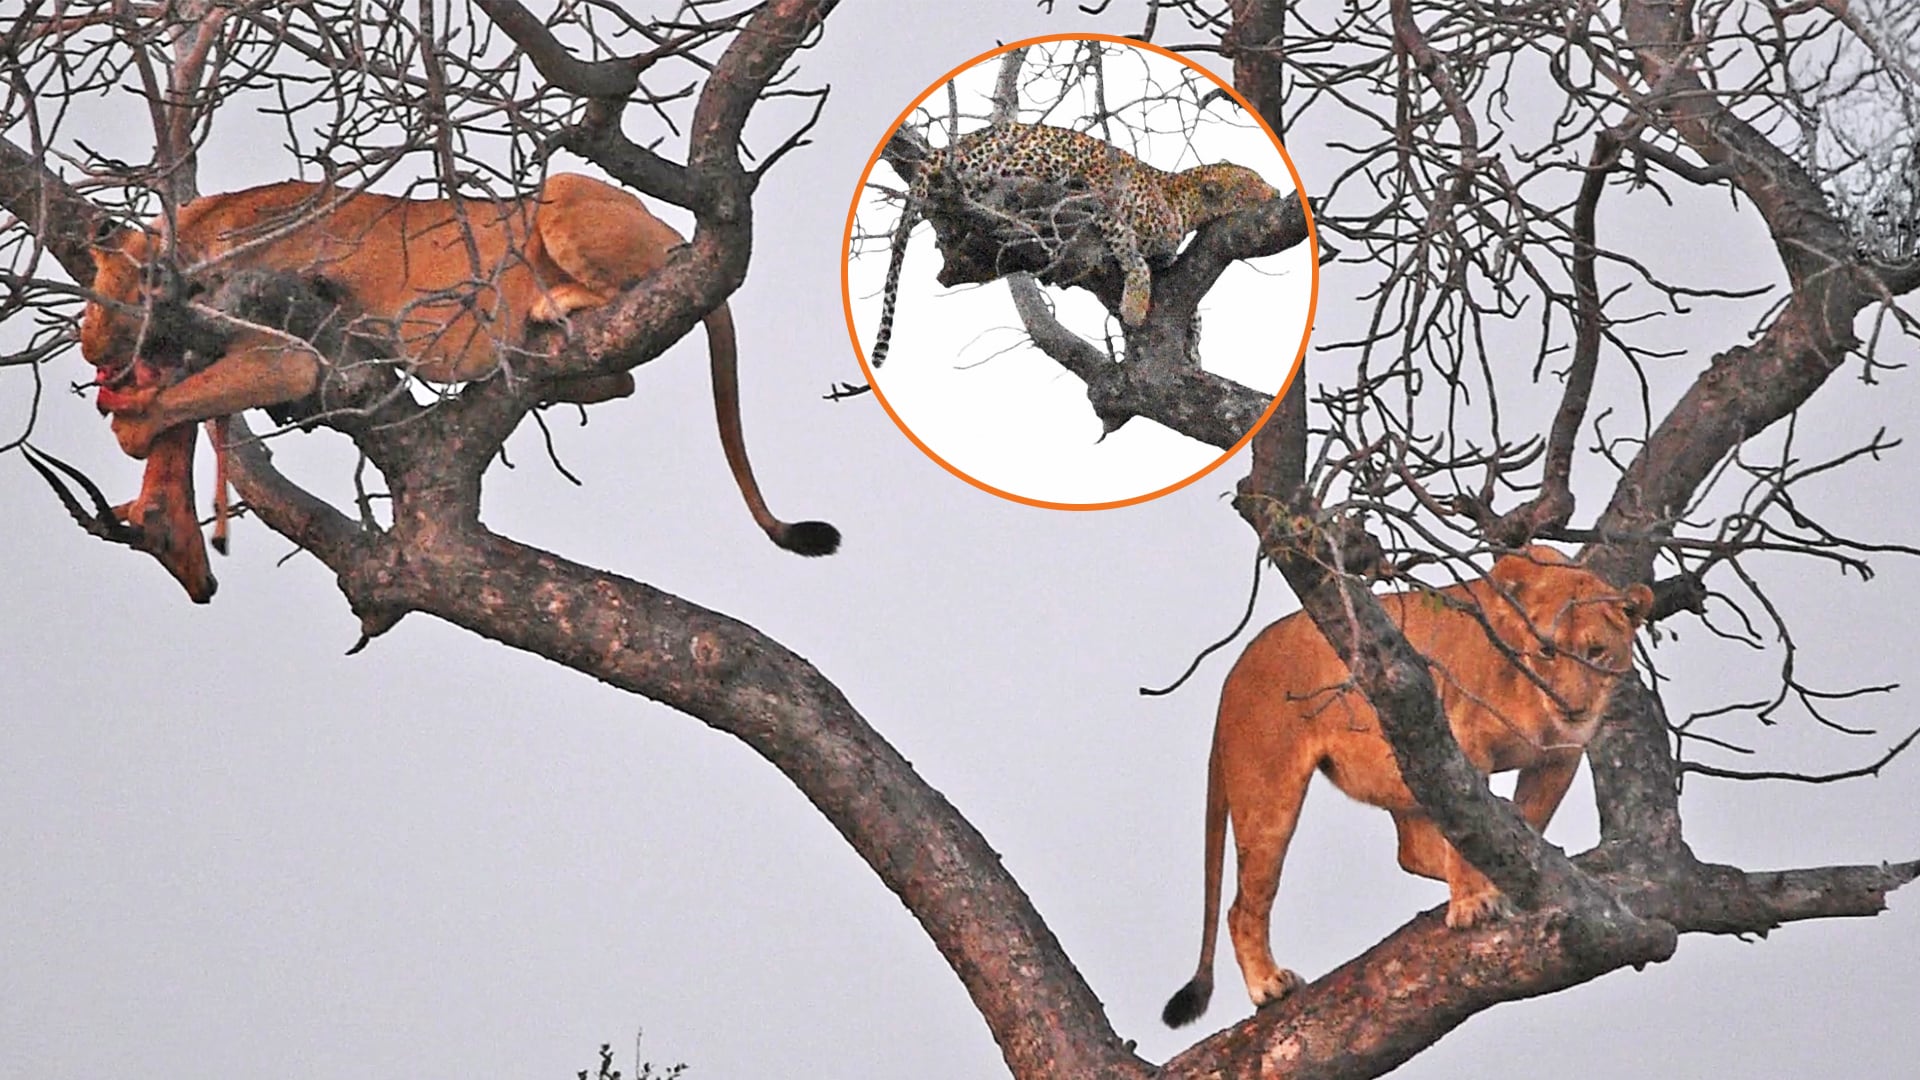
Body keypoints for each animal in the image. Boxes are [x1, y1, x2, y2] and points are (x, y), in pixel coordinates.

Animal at [82, 172, 838, 600]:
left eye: (100, 302)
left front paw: (133, 423)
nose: (89, 352)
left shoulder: (283, 342)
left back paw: (551, 305)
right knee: (620, 379)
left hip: (565, 188)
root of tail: (673, 230)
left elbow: (185, 399)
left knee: (631, 295)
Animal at [866, 123, 1278, 367]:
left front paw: (1193, 346)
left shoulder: (1165, 258)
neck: (1183, 205)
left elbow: (1188, 303)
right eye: (1254, 183)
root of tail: (958, 143)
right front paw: (1134, 307)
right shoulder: (1107, 203)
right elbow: (1132, 255)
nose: (1275, 191)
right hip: (1038, 158)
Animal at [1161, 545, 1653, 1027]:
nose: (1571, 706)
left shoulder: (1559, 759)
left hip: (1404, 765)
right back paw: (1267, 984)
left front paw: (1505, 879)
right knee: (1244, 906)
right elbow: (1471, 827)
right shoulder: (1463, 746)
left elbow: (1525, 824)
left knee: (1411, 852)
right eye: (1548, 650)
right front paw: (1472, 904)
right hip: (1271, 793)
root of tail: (1236, 669)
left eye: (1596, 651)